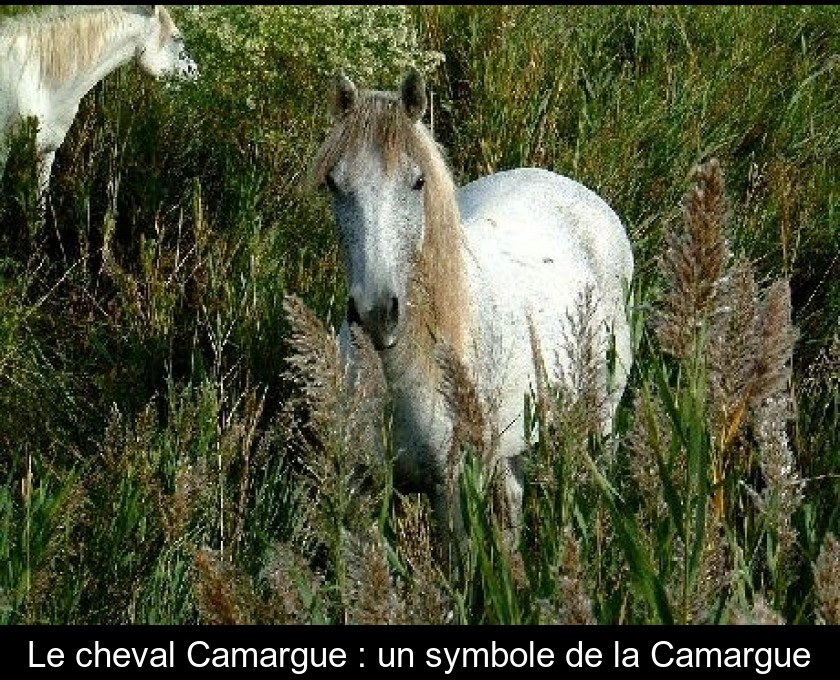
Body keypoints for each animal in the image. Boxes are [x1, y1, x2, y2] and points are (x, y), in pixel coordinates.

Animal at [312, 70, 632, 548]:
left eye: (418, 182)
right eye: (334, 183)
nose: (375, 315)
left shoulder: (453, 489)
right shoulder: (360, 487)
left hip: (602, 416)